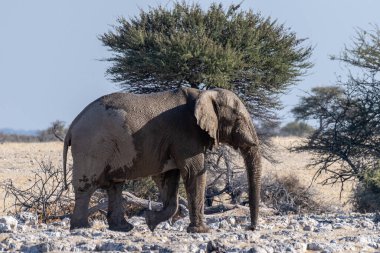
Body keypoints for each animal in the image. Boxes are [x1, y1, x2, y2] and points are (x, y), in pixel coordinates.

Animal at [63, 87, 262, 233]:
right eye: (238, 118)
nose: (251, 228)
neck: (204, 93)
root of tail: (73, 125)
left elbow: (170, 178)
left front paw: (150, 221)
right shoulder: (185, 134)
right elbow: (193, 172)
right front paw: (201, 231)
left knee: (115, 186)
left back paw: (122, 228)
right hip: (92, 145)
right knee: (87, 185)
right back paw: (81, 227)